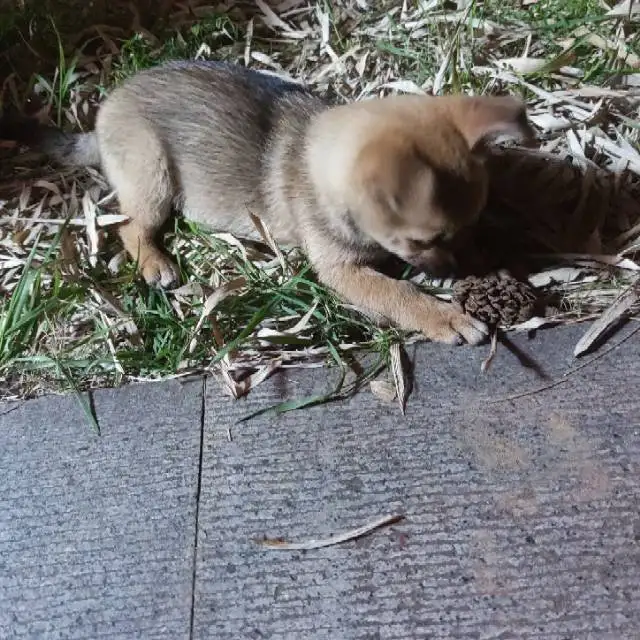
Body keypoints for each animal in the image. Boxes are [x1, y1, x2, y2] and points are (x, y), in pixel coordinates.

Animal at [3, 61, 536, 344]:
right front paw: (443, 316)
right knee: (129, 226)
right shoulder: (342, 272)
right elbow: (395, 293)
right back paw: (155, 262)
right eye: (423, 239)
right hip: (152, 178)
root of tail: (99, 118)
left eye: (470, 226)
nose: (458, 270)